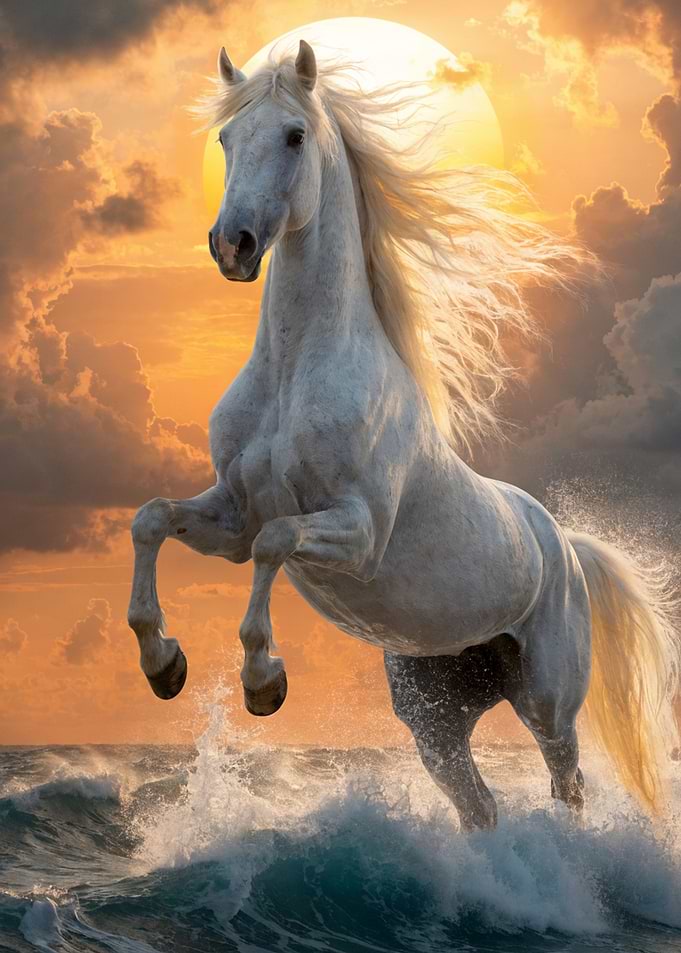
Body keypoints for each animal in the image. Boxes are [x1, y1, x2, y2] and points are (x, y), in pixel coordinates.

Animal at [127, 40, 679, 830]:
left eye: (294, 136)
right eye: (227, 138)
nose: (231, 245)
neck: (294, 374)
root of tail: (564, 543)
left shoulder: (358, 533)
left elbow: (276, 542)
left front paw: (264, 681)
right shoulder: (231, 515)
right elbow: (151, 519)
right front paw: (163, 664)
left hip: (546, 700)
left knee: (566, 784)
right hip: (436, 718)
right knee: (479, 805)